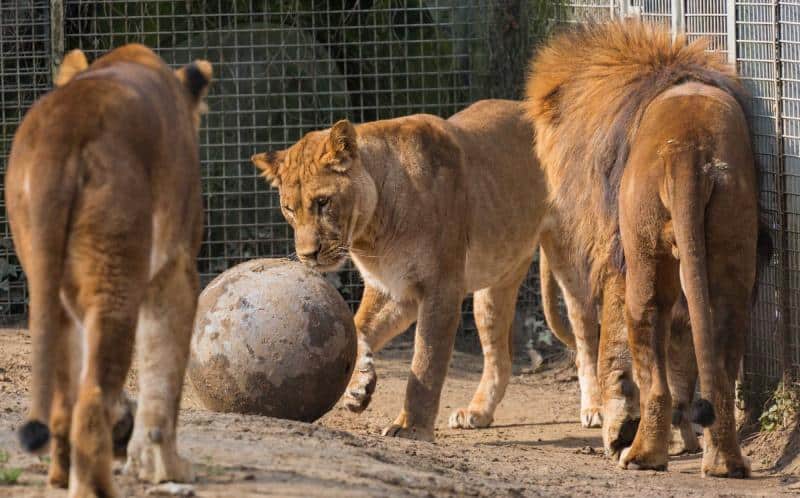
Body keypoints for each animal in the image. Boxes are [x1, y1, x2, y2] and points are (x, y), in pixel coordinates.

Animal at [5, 44, 212, 496]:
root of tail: (65, 122)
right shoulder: (176, 270)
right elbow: (164, 373)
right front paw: (165, 466)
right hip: (117, 275)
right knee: (92, 395)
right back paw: (96, 486)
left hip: (48, 270)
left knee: (66, 394)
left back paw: (62, 474)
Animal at [252, 100, 552, 440]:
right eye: (289, 208)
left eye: (323, 201)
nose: (307, 255)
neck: (373, 231)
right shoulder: (393, 289)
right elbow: (355, 326)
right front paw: (358, 386)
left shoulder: (441, 288)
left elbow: (426, 361)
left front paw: (411, 427)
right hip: (494, 286)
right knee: (500, 355)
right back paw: (478, 412)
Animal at [524, 20, 764, 478]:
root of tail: (691, 146)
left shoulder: (618, 250)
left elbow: (615, 349)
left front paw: (618, 427)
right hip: (732, 240)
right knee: (722, 361)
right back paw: (723, 462)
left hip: (645, 251)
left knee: (651, 367)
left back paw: (641, 454)